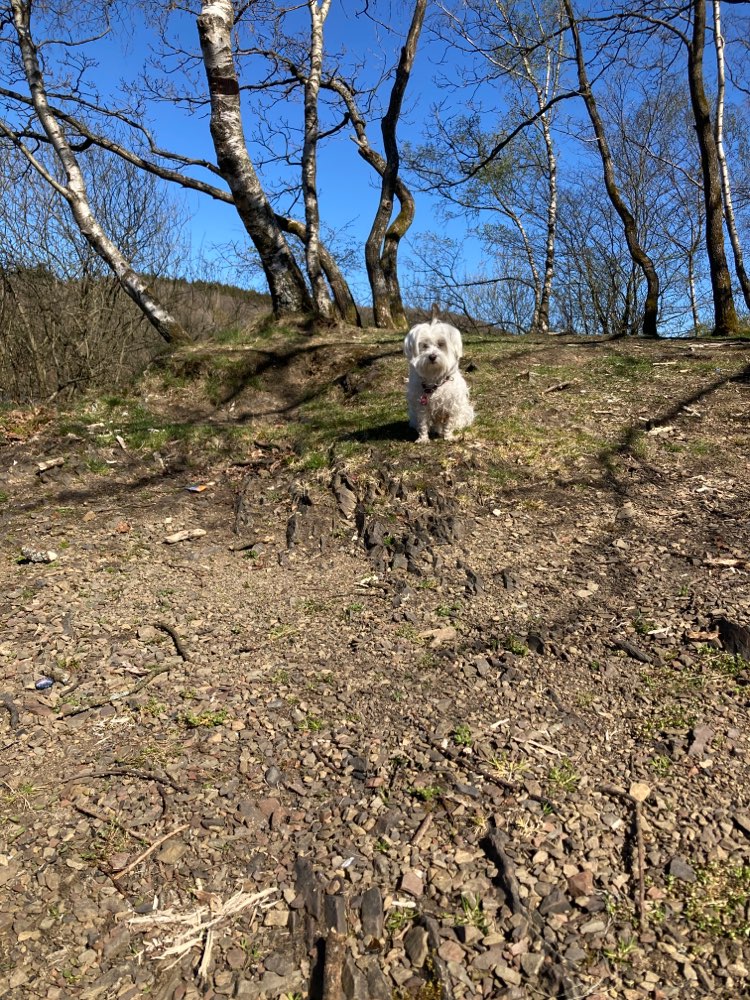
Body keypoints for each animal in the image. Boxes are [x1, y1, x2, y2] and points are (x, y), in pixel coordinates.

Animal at [406, 308, 476, 442]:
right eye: (424, 345)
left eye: (441, 344)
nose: (432, 356)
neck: (435, 378)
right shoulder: (421, 405)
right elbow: (423, 422)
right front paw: (423, 439)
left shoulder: (452, 404)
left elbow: (449, 423)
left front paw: (448, 437)